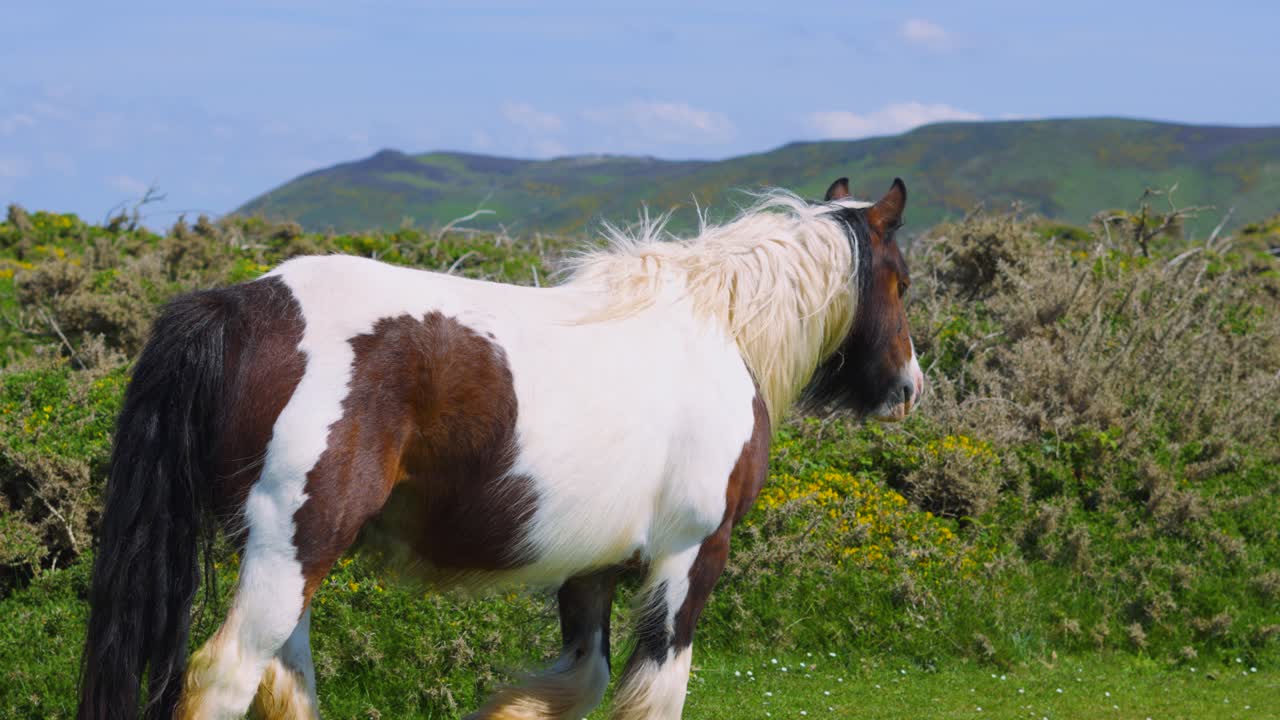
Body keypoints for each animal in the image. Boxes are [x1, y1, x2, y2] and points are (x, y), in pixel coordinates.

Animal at [77, 176, 923, 720]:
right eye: (903, 280)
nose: (909, 387)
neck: (715, 331)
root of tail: (240, 303)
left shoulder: (591, 570)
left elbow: (579, 682)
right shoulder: (690, 559)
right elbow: (652, 695)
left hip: (288, 559)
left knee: (285, 687)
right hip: (294, 549)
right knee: (222, 680)